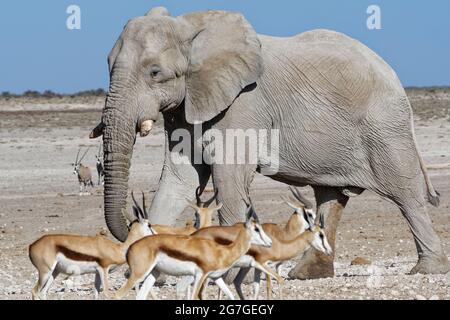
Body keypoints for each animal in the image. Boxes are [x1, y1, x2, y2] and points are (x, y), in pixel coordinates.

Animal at [90, 6, 450, 278]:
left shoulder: (243, 105)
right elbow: (178, 179)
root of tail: (395, 77)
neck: (193, 28)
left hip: (385, 128)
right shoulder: (187, 102)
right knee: (330, 196)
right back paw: (306, 274)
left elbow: (228, 178)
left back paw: (427, 269)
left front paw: (228, 274)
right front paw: (152, 271)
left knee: (406, 195)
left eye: (155, 72)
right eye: (107, 66)